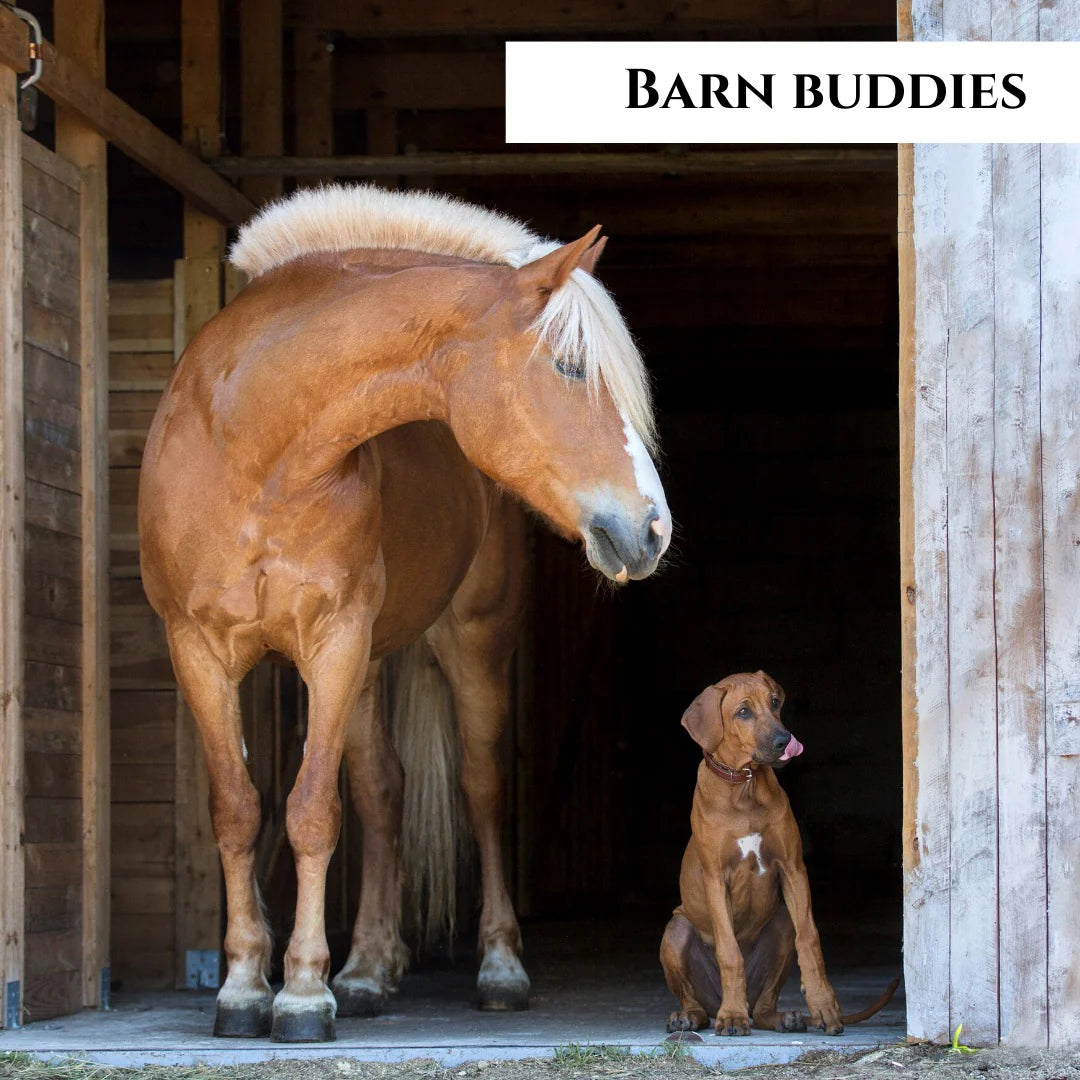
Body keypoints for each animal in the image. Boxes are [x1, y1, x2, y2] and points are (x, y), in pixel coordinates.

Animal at [139, 181, 669, 1041]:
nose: (653, 529)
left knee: (480, 787)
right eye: (568, 366)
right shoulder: (200, 651)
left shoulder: (334, 640)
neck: (253, 448)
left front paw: (301, 994)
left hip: (468, 643)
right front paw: (245, 989)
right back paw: (367, 970)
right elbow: (240, 811)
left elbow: (312, 811)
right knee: (383, 790)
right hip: (368, 665)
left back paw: (497, 967)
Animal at [656, 669, 894, 1032]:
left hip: (781, 924)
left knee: (767, 1003)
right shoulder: (715, 879)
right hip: (676, 930)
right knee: (693, 1001)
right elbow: (729, 952)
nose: (785, 740)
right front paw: (732, 1015)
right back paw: (695, 1016)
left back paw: (785, 1018)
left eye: (774, 702)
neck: (745, 785)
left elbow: (809, 939)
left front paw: (823, 1003)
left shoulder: (792, 867)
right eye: (743, 712)